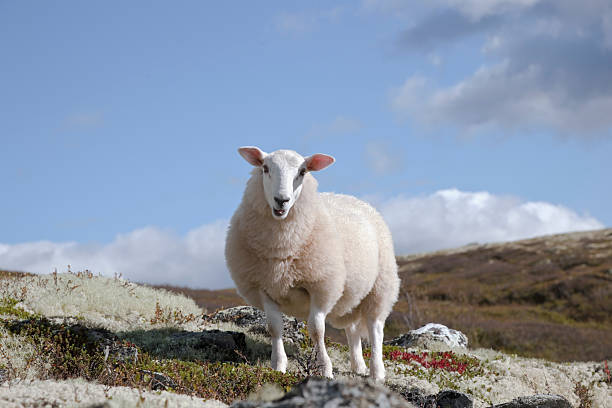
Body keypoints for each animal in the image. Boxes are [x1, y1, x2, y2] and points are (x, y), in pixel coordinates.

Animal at [225, 147, 402, 380]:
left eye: (303, 172)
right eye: (265, 168)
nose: (281, 200)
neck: (282, 251)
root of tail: (352, 198)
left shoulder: (321, 286)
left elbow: (317, 330)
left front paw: (324, 369)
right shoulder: (264, 288)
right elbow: (274, 327)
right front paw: (278, 366)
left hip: (380, 286)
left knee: (375, 328)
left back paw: (377, 371)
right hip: (350, 301)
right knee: (353, 330)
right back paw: (358, 366)